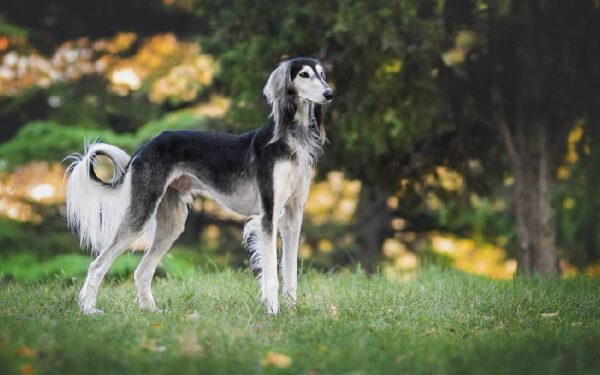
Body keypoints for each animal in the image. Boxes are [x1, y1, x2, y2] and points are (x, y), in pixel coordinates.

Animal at [69, 57, 338, 316]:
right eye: (304, 74)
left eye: (322, 74)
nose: (329, 94)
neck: (290, 138)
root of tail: (145, 147)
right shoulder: (268, 215)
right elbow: (271, 272)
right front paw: (273, 311)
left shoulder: (293, 216)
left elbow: (290, 273)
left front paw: (291, 310)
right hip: (141, 212)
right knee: (98, 264)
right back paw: (89, 309)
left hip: (172, 223)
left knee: (141, 271)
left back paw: (152, 310)